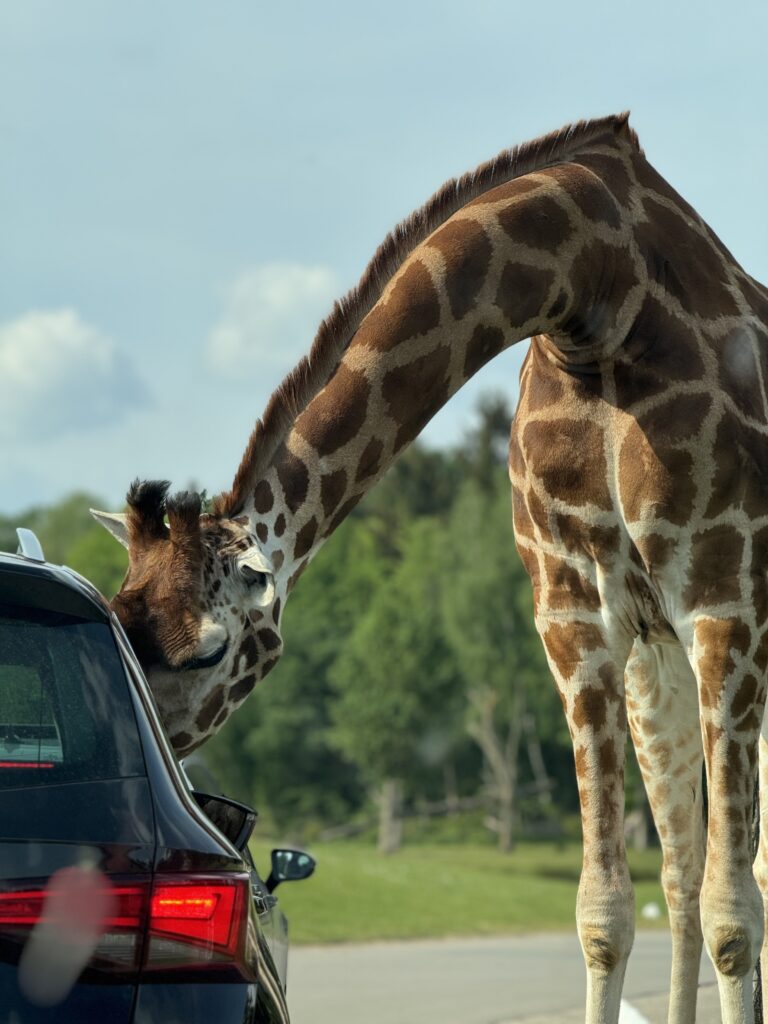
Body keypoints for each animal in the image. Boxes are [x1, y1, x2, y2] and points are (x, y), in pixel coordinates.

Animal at [91, 114, 768, 1024]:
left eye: (207, 651)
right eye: (118, 617)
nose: (147, 810)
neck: (594, 298)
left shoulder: (722, 599)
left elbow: (735, 913)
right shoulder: (580, 617)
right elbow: (608, 910)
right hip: (658, 665)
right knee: (685, 871)